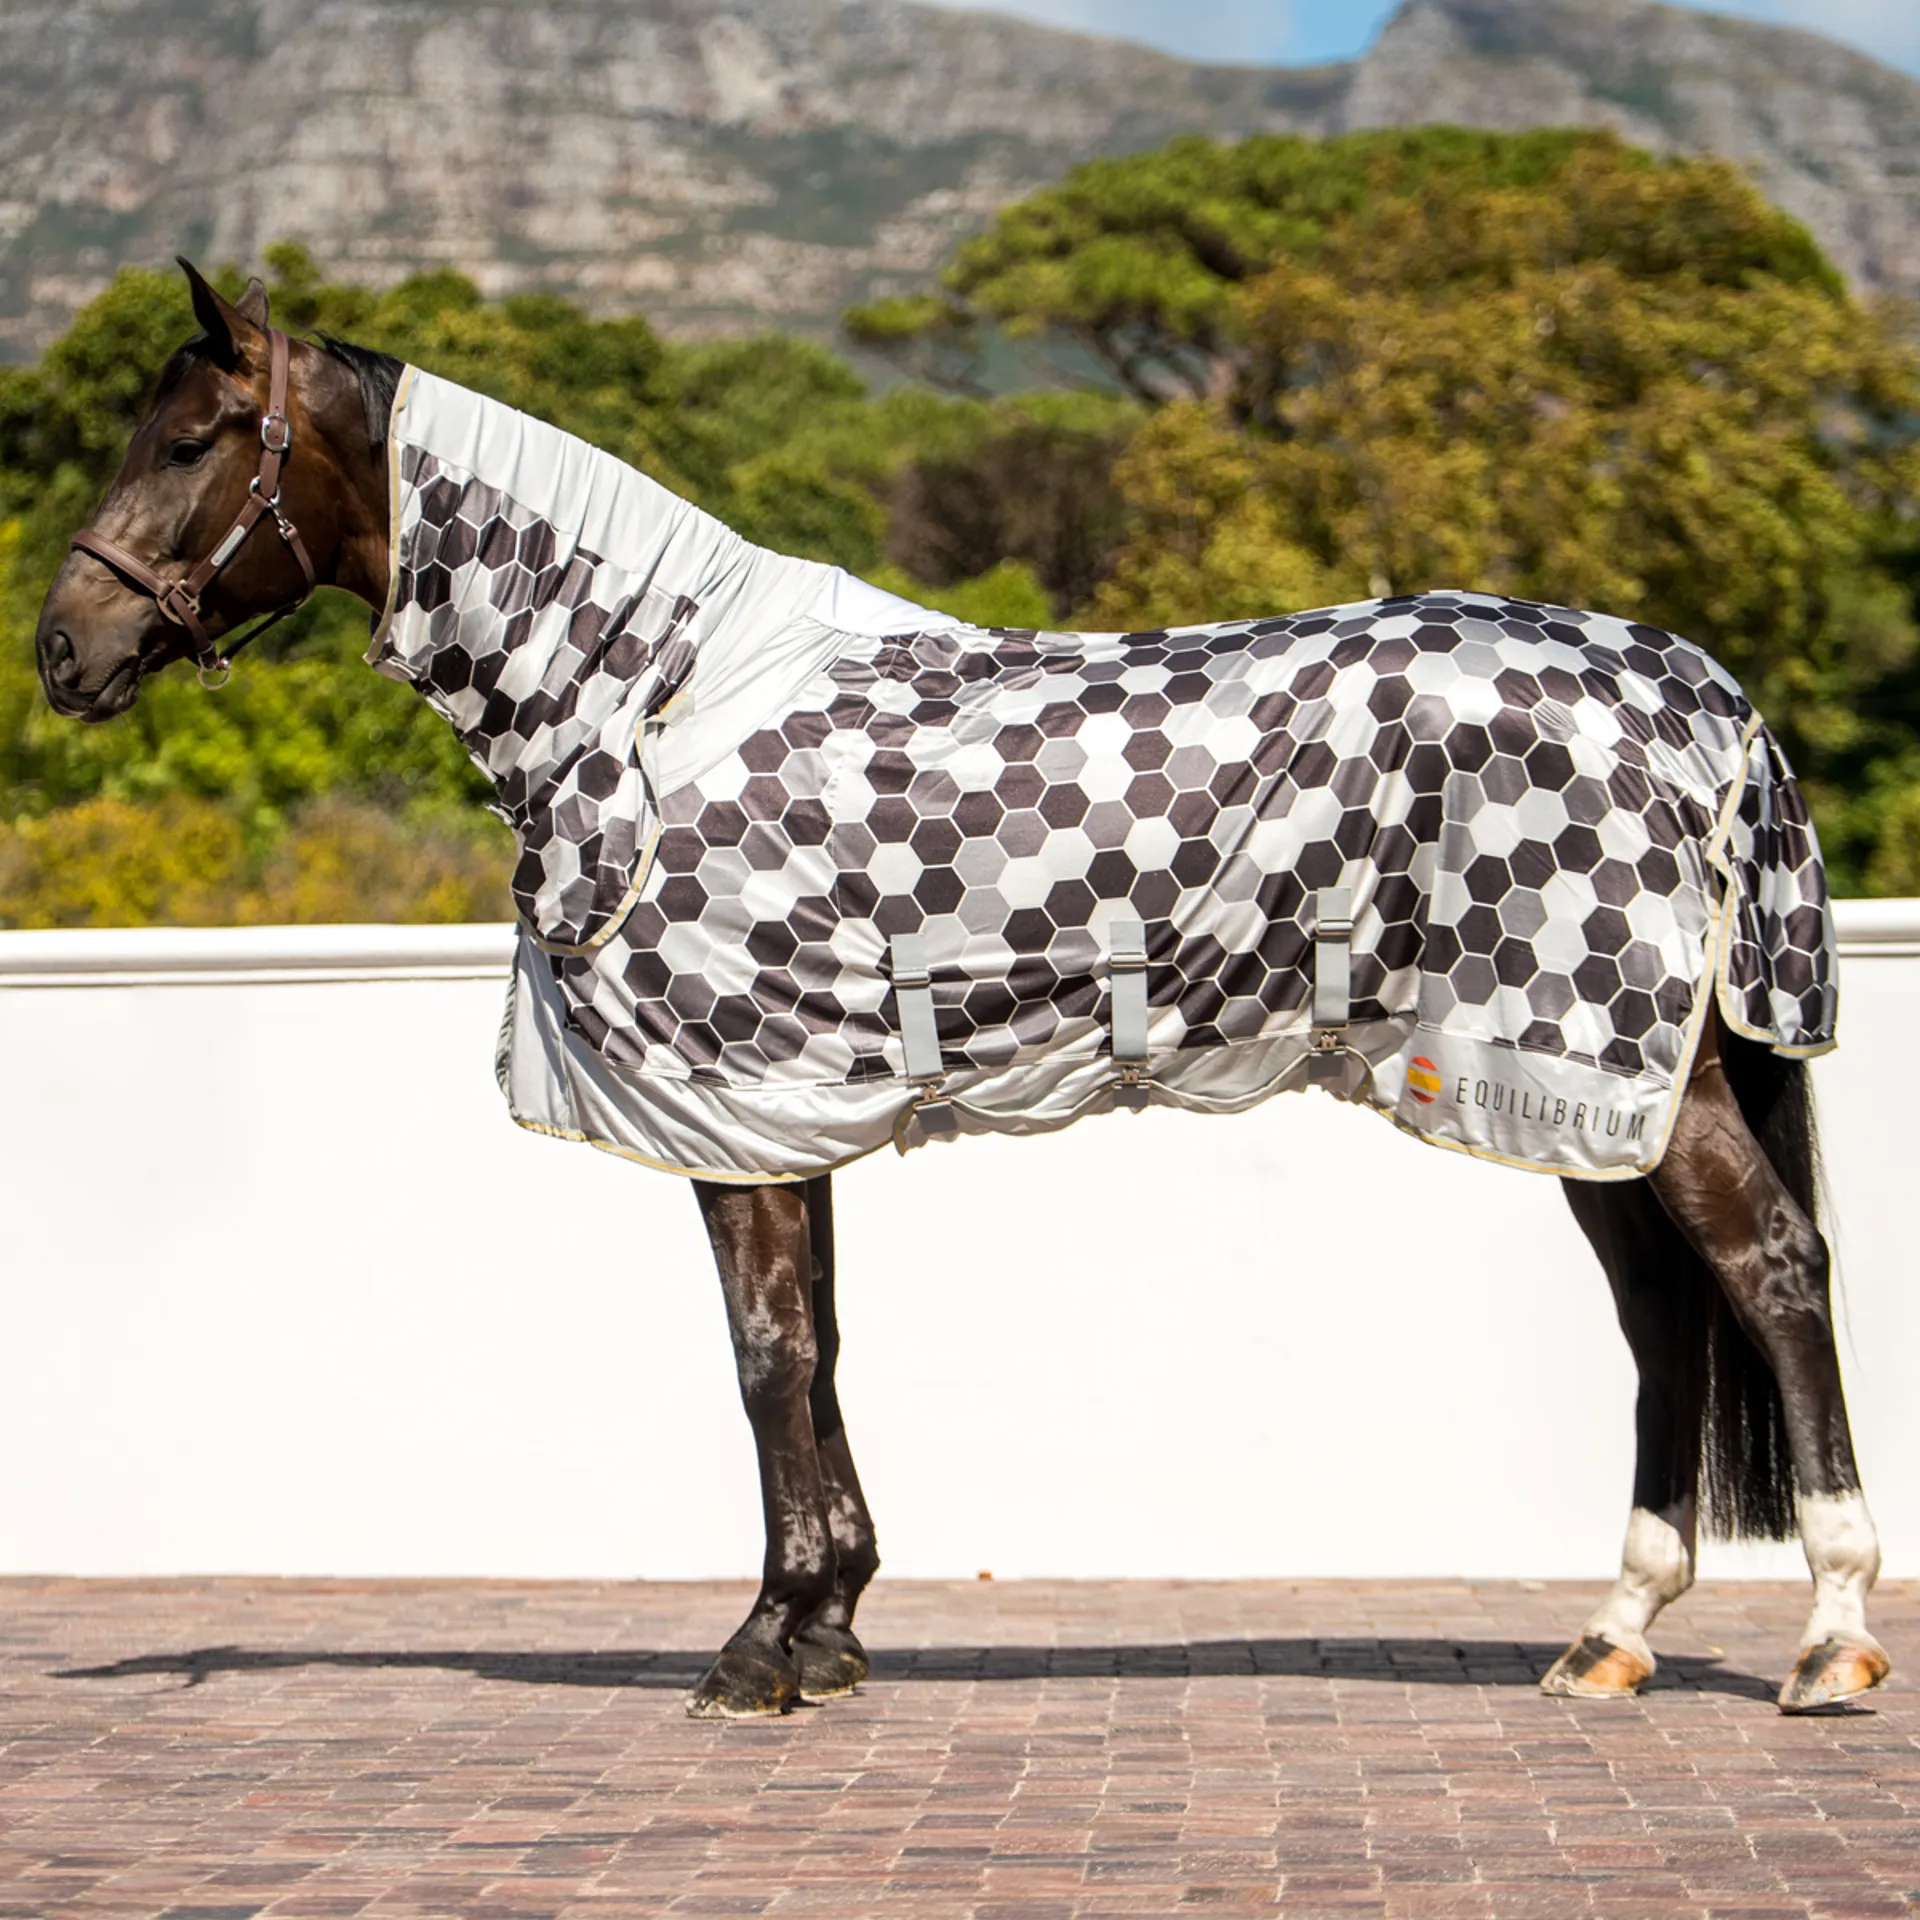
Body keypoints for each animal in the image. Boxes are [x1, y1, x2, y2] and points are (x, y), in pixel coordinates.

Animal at [32, 261, 1890, 1720]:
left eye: (189, 442)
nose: (63, 649)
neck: (659, 695)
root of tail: (1691, 693)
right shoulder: (787, 1115)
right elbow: (820, 1350)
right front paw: (829, 1623)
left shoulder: (732, 1105)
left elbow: (767, 1359)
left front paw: (761, 1653)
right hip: (1579, 1087)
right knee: (1666, 1314)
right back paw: (1609, 1636)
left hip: (1620, 1069)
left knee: (1772, 1271)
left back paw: (1832, 1637)